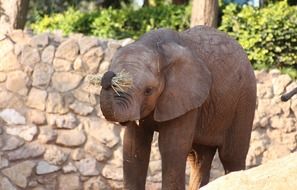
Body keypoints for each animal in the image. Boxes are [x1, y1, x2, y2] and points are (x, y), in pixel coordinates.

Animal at [98, 25, 256, 190]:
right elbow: (134, 147)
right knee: (199, 157)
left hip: (245, 99)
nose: (108, 76)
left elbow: (172, 148)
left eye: (148, 90)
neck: (154, 46)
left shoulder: (186, 96)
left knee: (231, 155)